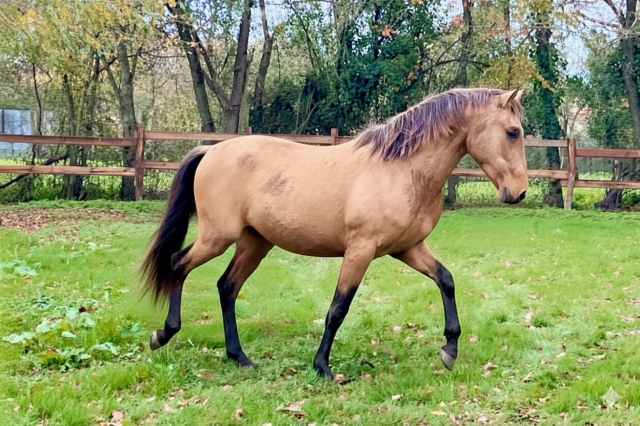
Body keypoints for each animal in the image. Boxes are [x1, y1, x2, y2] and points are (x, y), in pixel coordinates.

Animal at [141, 87, 527, 379]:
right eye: (513, 132)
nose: (520, 192)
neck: (401, 170)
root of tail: (211, 150)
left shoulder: (408, 248)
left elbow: (445, 280)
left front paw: (450, 348)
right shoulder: (360, 250)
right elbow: (338, 308)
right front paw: (323, 367)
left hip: (255, 242)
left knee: (227, 287)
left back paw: (239, 357)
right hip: (217, 237)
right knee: (178, 264)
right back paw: (164, 333)